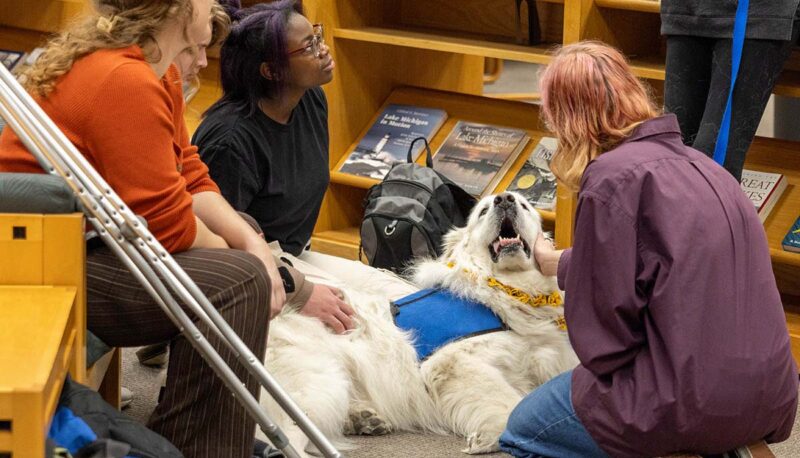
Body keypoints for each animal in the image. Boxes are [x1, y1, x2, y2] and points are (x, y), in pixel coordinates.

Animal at [262, 191, 576, 456]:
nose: (504, 199)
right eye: (484, 210)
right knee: (287, 437)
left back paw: (363, 420)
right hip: (318, 385)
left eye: (523, 205)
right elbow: (512, 404)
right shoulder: (453, 364)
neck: (505, 291)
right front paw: (489, 437)